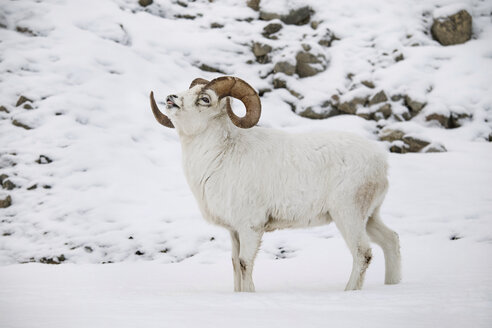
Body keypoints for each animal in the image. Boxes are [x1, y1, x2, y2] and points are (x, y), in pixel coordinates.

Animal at [149, 77, 400, 292]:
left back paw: (349, 291)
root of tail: (381, 162)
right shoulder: (234, 231)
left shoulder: (251, 227)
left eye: (205, 98)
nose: (171, 98)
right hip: (370, 217)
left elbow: (244, 264)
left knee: (362, 254)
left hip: (348, 215)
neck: (221, 157)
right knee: (391, 241)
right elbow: (234, 264)